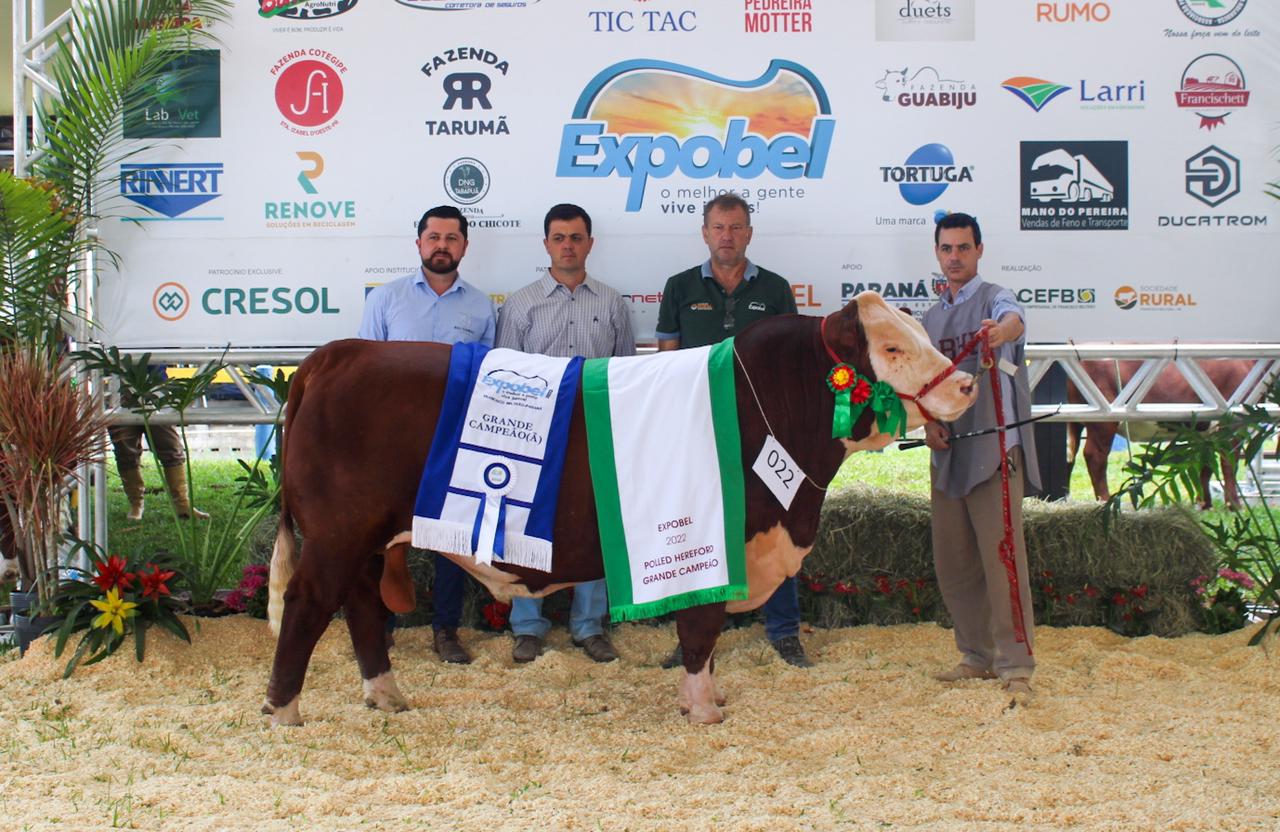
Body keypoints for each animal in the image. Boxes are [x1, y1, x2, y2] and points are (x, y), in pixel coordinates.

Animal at [261, 292, 977, 726]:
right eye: (890, 348)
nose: (968, 383)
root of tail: (337, 353)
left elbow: (705, 637)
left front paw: (709, 696)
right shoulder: (710, 540)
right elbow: (700, 630)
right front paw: (704, 711)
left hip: (368, 540)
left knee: (360, 608)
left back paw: (387, 697)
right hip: (336, 534)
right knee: (307, 606)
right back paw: (284, 713)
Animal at [1066, 359, 1255, 510]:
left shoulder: (1208, 435)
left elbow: (1207, 466)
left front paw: (1204, 503)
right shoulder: (1233, 424)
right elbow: (1229, 465)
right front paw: (1234, 505)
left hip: (1077, 423)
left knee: (1069, 456)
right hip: (1103, 423)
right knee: (1095, 456)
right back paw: (1105, 500)